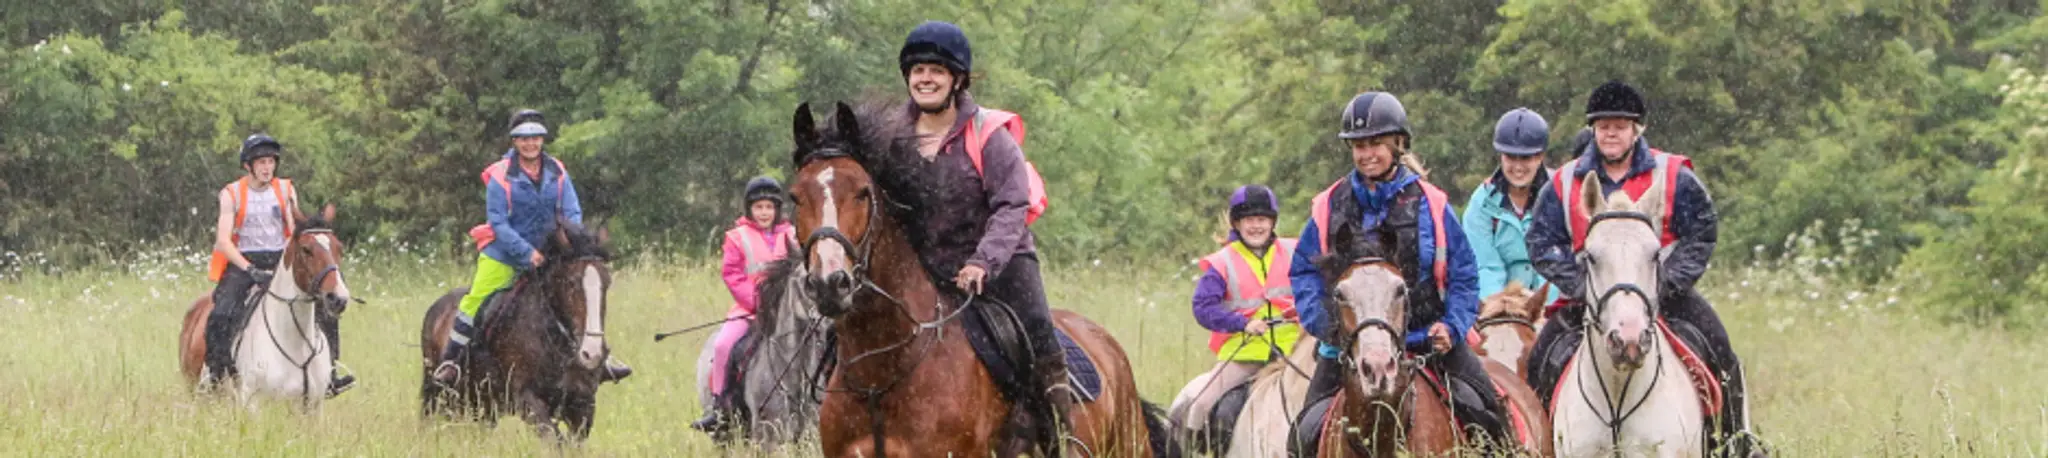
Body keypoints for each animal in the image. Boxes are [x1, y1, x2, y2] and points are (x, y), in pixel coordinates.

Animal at [178, 204, 351, 409]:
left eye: (339, 248)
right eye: (306, 249)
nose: (338, 298)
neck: (296, 345)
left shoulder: (313, 407)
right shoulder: (253, 404)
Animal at [418, 220, 614, 441]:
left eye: (607, 282)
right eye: (571, 283)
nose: (592, 353)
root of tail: (436, 308)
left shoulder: (582, 404)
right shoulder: (527, 399)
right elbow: (554, 439)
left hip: (484, 405)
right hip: (438, 391)